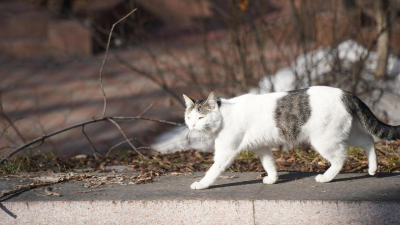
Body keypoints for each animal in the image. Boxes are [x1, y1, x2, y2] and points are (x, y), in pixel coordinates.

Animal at [182, 86, 400, 190]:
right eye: (189, 117)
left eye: (201, 117)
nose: (191, 125)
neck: (224, 116)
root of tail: (345, 93)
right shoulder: (261, 147)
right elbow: (269, 163)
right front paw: (272, 179)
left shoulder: (226, 152)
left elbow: (212, 171)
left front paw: (201, 184)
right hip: (346, 133)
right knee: (368, 140)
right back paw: (372, 169)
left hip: (324, 139)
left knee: (340, 158)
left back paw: (326, 178)